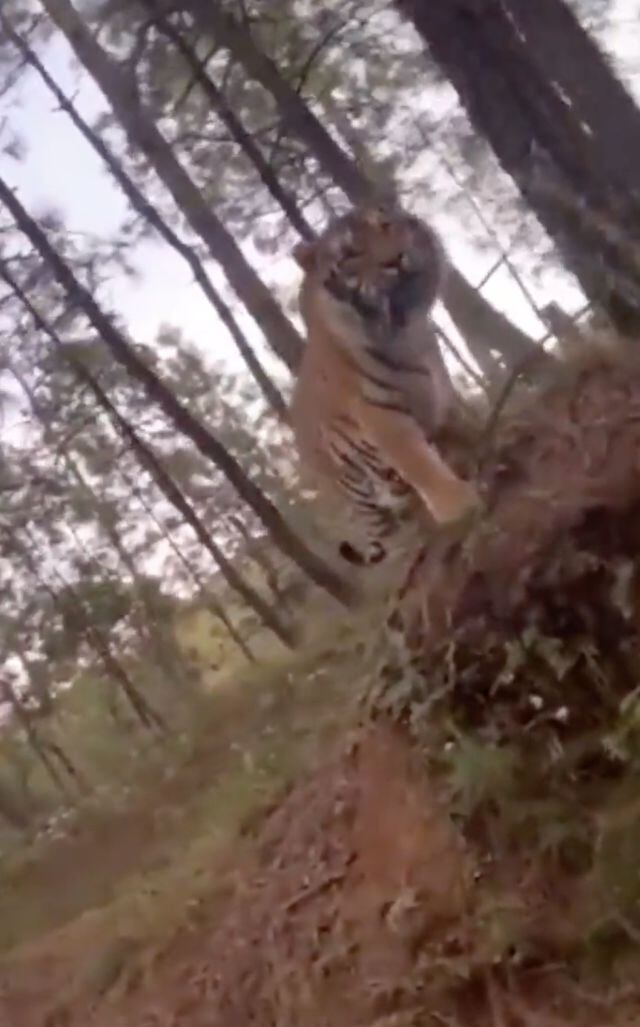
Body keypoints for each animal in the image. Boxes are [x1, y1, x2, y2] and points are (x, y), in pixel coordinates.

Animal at [289, 201, 480, 567]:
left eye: (385, 226)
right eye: (351, 253)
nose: (398, 258)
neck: (403, 331)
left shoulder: (441, 392)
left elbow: (460, 430)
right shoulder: (381, 415)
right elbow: (420, 463)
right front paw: (458, 505)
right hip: (360, 494)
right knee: (389, 533)